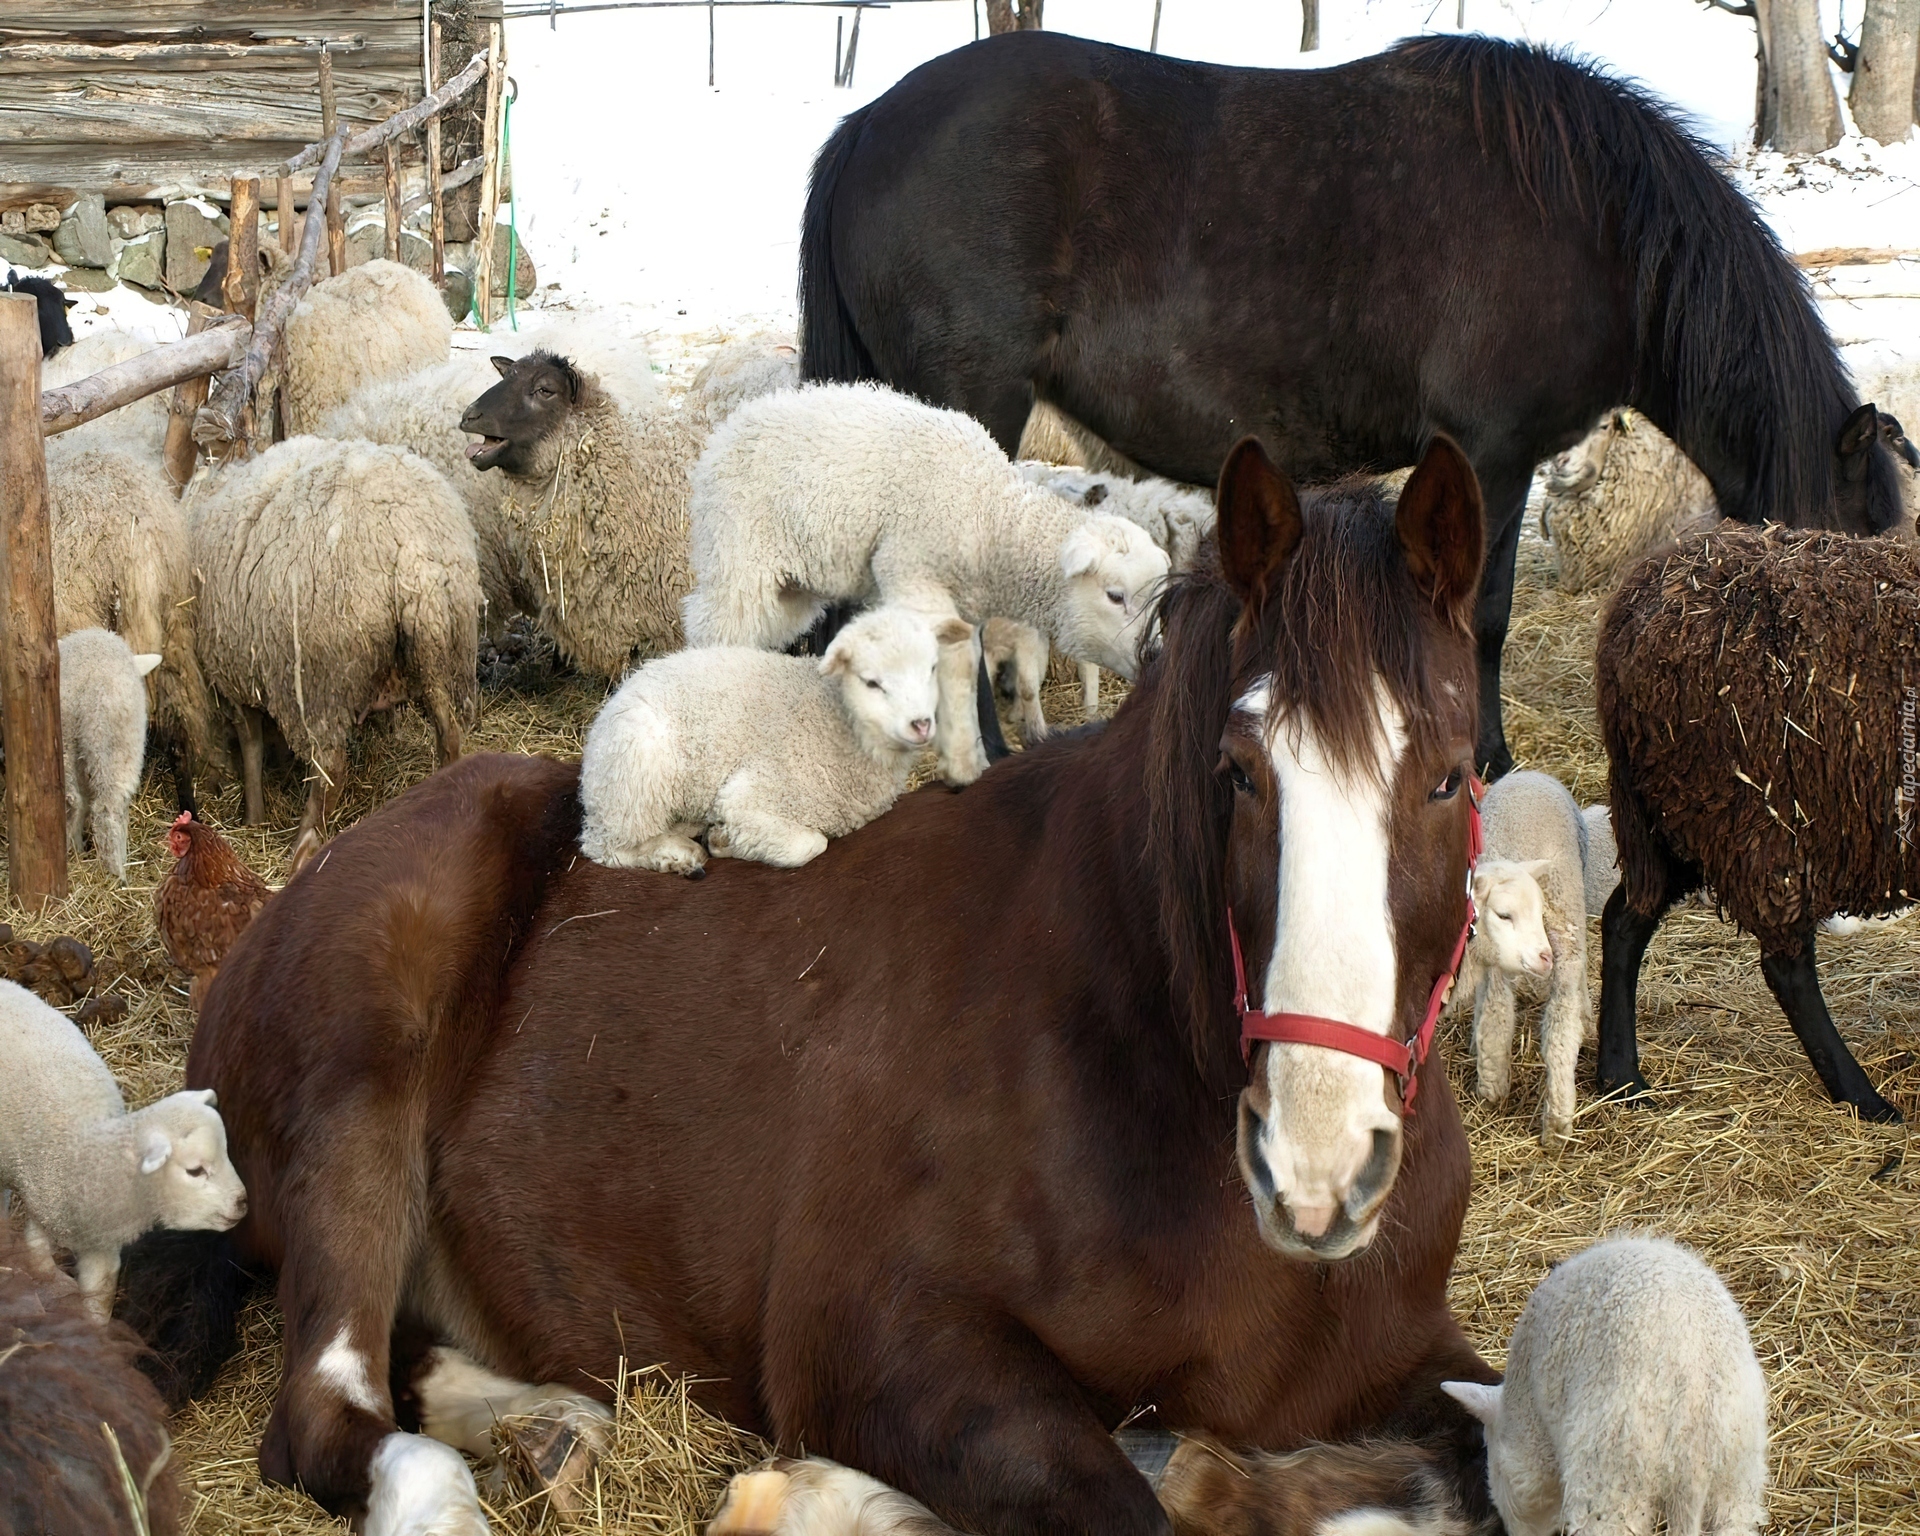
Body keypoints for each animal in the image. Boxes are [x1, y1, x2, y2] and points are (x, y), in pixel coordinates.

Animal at [130, 436, 1502, 1536]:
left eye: (1450, 775)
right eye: (1237, 773)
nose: (1317, 1170)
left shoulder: (1415, 1360)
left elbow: (1476, 1464)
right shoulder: (883, 1349)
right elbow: (1131, 1505)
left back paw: (549, 1430)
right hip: (359, 1080)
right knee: (327, 1418)